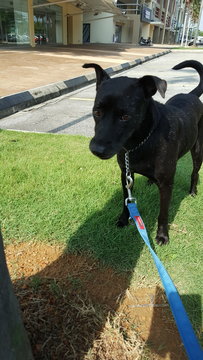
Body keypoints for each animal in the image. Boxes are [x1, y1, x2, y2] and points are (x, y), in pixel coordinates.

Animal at [83, 61, 203, 245]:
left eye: (125, 116)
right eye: (97, 112)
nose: (96, 149)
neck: (140, 142)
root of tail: (192, 95)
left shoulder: (167, 184)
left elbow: (163, 214)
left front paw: (162, 235)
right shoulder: (125, 175)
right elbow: (126, 202)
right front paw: (123, 220)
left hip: (197, 151)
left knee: (195, 172)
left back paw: (192, 191)